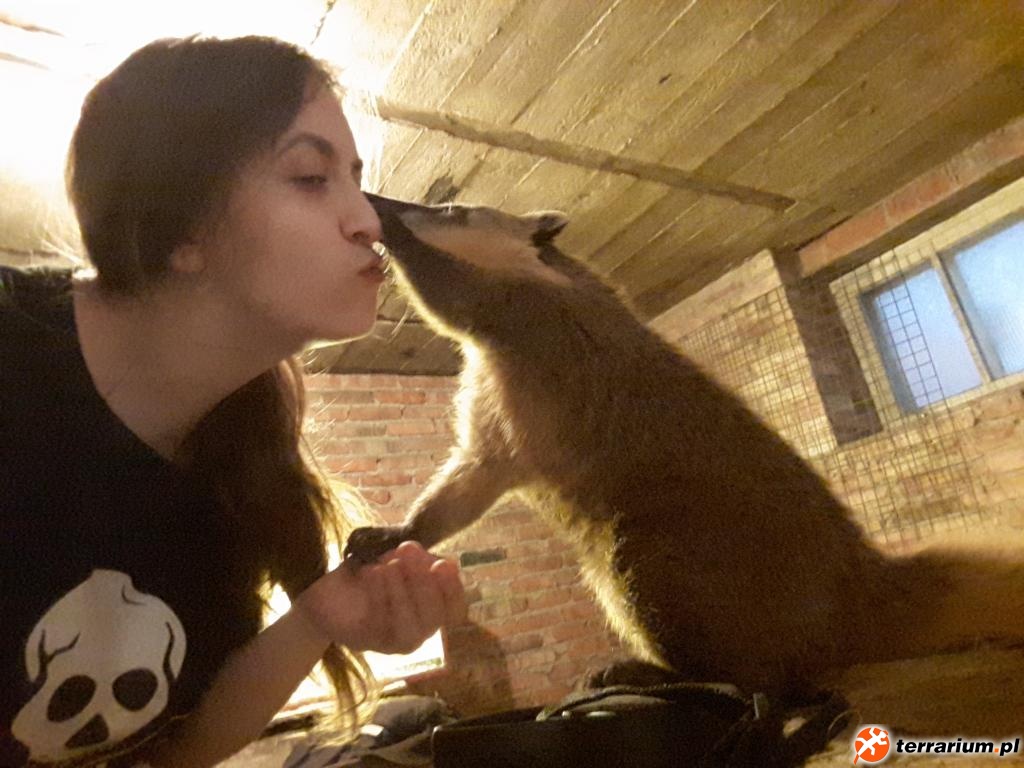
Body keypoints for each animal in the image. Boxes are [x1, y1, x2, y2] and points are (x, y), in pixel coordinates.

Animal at [345, 192, 1024, 703]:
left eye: (453, 209)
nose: (380, 202)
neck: (555, 272)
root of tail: (857, 596)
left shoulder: (534, 328)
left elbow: (455, 295)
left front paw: (395, 233)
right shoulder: (494, 404)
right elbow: (469, 481)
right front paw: (402, 531)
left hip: (684, 556)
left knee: (711, 634)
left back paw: (674, 672)